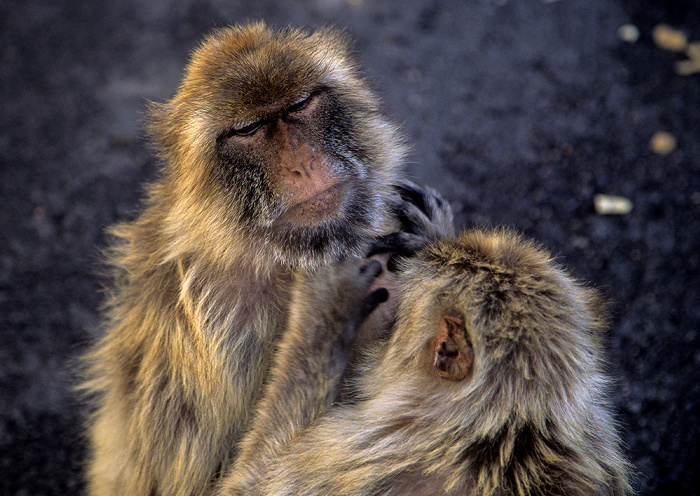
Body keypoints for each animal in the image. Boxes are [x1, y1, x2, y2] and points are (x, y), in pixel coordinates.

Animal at [79, 20, 452, 496]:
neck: (271, 257)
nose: (302, 164)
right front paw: (325, 314)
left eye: (300, 104)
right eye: (249, 128)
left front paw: (433, 239)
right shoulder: (218, 323)